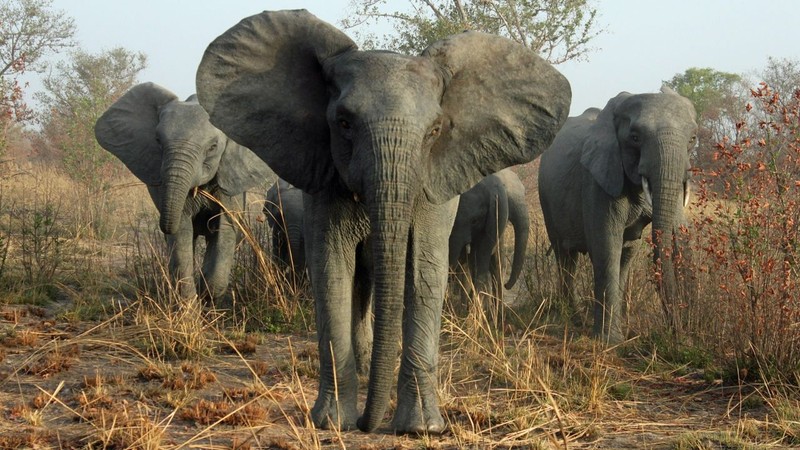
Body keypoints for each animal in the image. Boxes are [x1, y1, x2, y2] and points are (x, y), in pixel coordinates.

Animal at [93, 83, 274, 304]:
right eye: (157, 140)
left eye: (213, 147)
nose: (163, 226)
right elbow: (182, 237)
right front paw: (190, 307)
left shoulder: (229, 179)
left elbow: (224, 230)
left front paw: (207, 295)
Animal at [536, 88, 700, 346]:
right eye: (634, 137)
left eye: (693, 138)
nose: (681, 336)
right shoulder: (598, 178)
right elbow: (607, 244)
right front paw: (609, 342)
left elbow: (643, 245)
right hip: (546, 198)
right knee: (565, 256)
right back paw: (572, 318)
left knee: (622, 253)